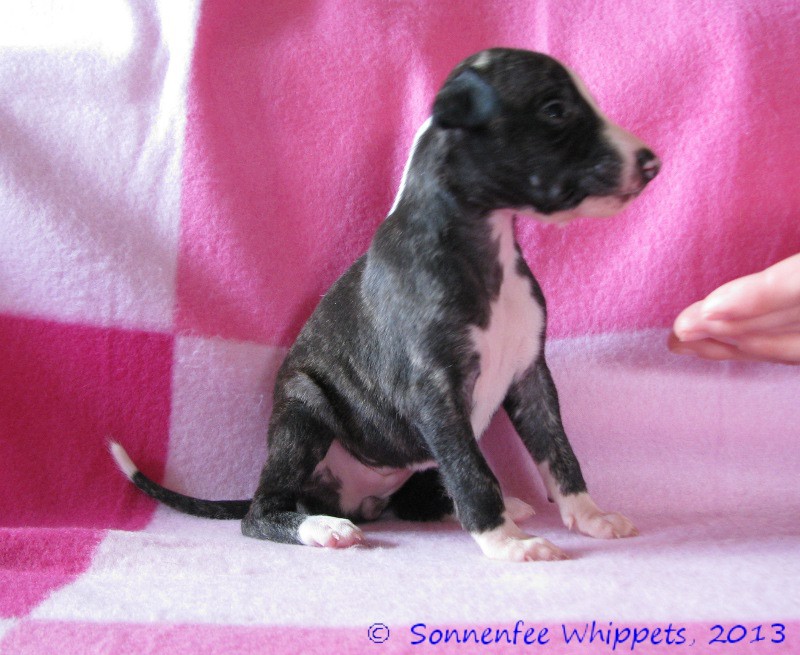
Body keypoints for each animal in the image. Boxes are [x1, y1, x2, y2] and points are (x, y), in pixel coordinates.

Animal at [112, 48, 660, 562]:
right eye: (554, 110)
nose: (651, 163)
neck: (485, 251)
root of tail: (350, 500)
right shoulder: (435, 391)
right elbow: (472, 472)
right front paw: (507, 542)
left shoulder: (531, 376)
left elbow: (558, 451)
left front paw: (590, 516)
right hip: (303, 411)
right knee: (260, 512)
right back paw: (321, 528)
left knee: (417, 500)